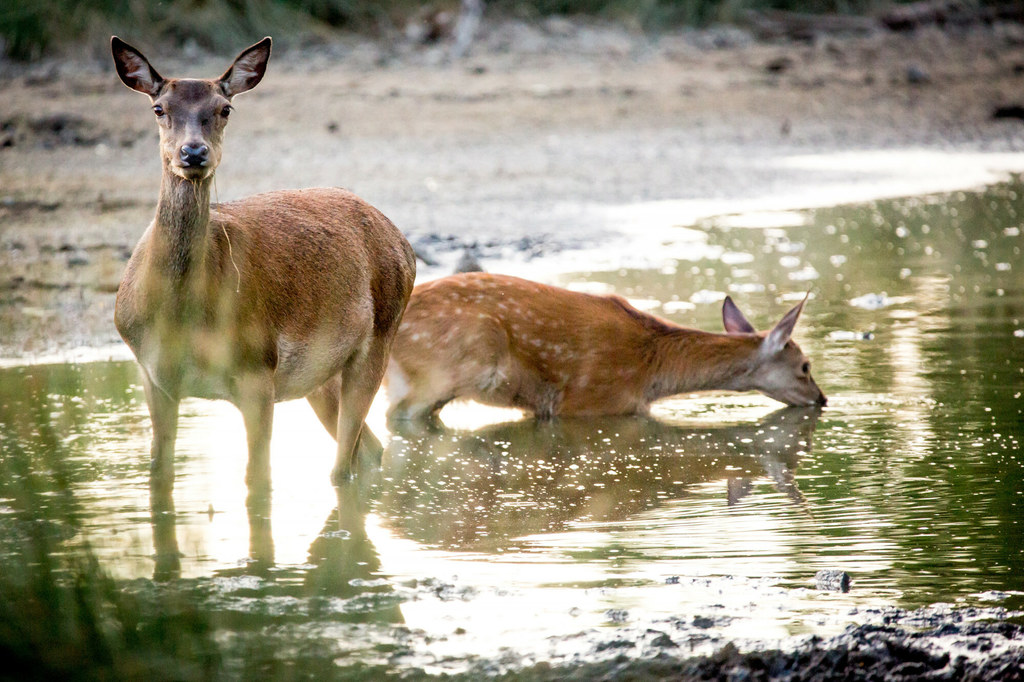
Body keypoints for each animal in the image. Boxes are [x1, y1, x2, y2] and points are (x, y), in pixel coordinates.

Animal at [112, 37, 415, 503]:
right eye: (159, 108)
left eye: (225, 108)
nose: (193, 152)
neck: (179, 319)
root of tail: (403, 242)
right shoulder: (153, 375)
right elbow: (159, 474)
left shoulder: (258, 368)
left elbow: (258, 479)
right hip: (320, 374)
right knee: (369, 449)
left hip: (380, 335)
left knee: (345, 463)